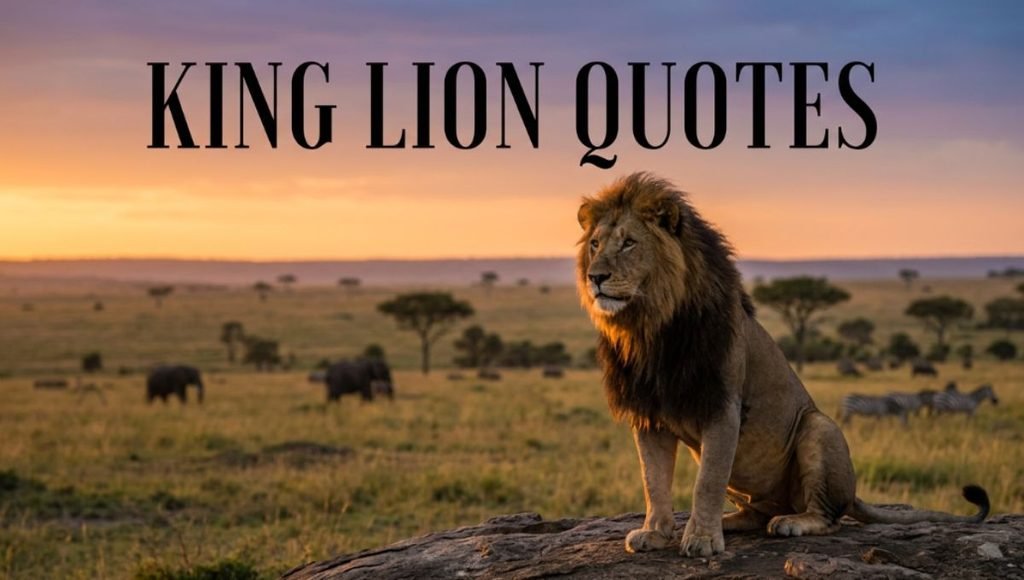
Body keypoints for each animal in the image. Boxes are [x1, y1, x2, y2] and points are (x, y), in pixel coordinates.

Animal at [576, 172, 989, 557]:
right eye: (595, 244)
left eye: (629, 242)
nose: (595, 277)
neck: (649, 328)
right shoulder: (648, 413)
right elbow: (653, 480)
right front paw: (656, 532)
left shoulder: (723, 406)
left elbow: (706, 482)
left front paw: (703, 539)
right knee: (758, 511)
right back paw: (732, 520)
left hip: (818, 427)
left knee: (829, 516)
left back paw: (790, 523)